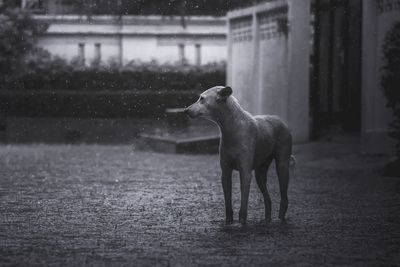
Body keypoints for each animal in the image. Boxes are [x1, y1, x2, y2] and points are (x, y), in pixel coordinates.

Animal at [184, 86, 294, 226]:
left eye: (202, 98)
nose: (185, 110)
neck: (232, 128)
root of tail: (281, 120)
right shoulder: (225, 173)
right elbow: (228, 201)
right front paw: (228, 221)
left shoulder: (245, 173)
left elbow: (244, 201)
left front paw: (242, 222)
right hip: (260, 173)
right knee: (267, 198)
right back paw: (267, 219)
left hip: (282, 167)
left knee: (284, 196)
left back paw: (281, 218)